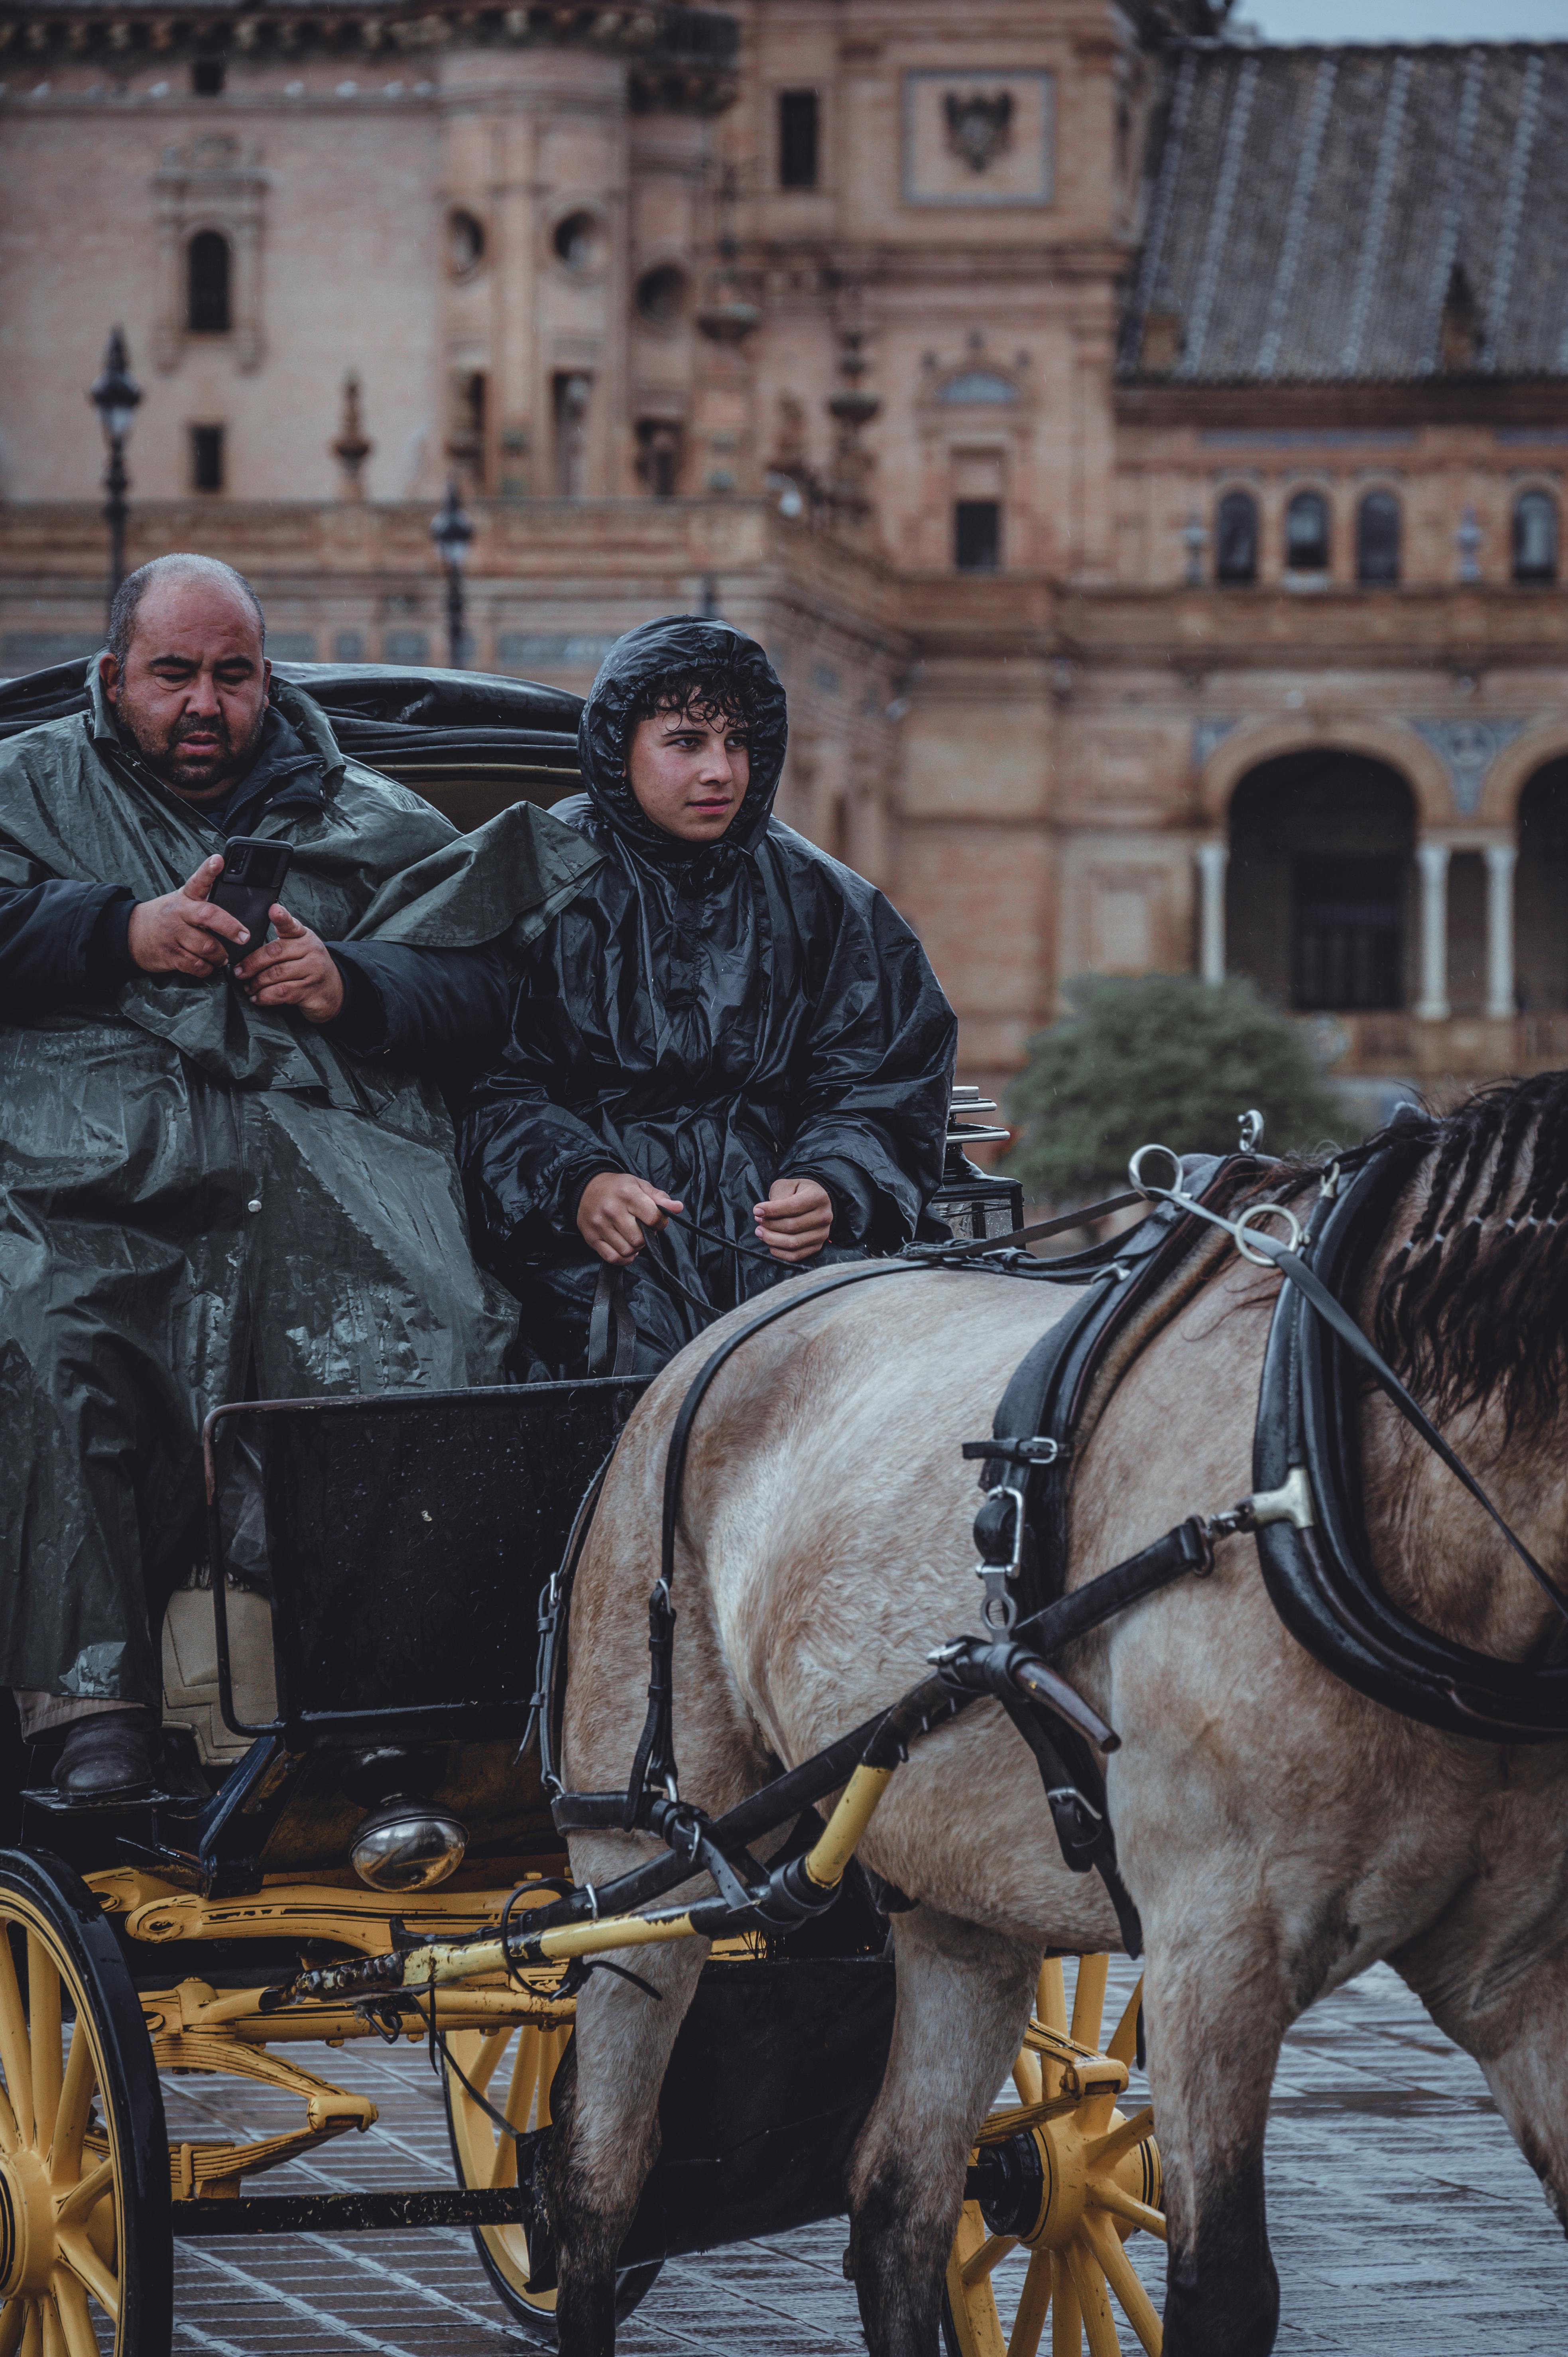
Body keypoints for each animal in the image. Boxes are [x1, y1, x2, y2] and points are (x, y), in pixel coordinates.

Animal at [542, 1079, 1566, 2357]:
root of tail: (717, 1334)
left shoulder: (1518, 1968)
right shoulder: (1211, 1943)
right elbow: (1221, 2290)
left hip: (958, 1879)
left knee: (897, 2192)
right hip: (643, 1840)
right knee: (599, 2175)